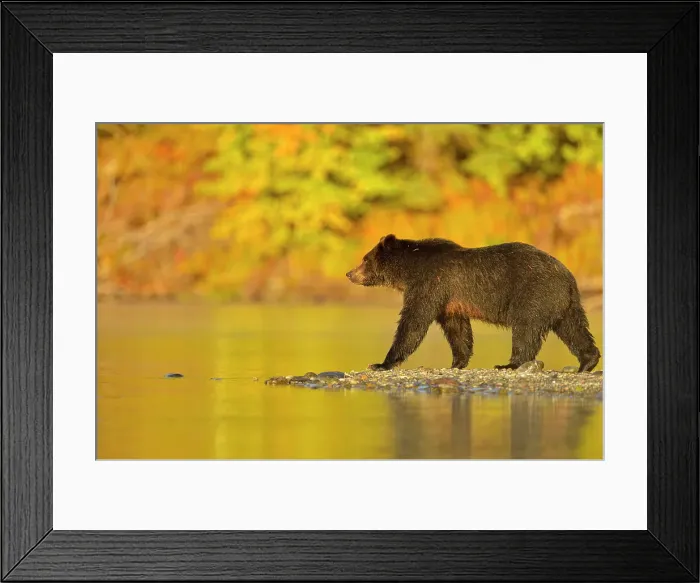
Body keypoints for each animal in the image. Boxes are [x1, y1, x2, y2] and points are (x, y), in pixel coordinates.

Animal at [346, 234, 600, 373]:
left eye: (365, 259)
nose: (349, 273)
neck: (409, 270)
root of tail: (567, 275)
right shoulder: (450, 299)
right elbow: (457, 330)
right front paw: (457, 362)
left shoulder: (430, 284)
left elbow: (414, 322)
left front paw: (381, 363)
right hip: (565, 304)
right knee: (574, 329)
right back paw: (588, 361)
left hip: (533, 294)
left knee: (526, 329)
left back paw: (510, 364)